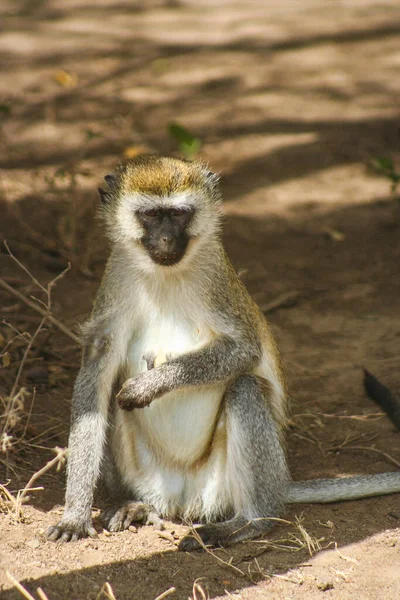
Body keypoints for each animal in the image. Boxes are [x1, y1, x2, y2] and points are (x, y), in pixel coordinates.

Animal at [47, 157, 400, 552]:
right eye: (151, 215)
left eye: (179, 214)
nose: (166, 239)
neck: (165, 275)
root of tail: (181, 499)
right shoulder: (116, 279)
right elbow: (96, 377)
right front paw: (75, 515)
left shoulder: (217, 281)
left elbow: (245, 351)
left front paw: (150, 384)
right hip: (148, 475)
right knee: (110, 401)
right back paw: (135, 503)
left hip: (225, 485)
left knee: (244, 389)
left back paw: (249, 522)